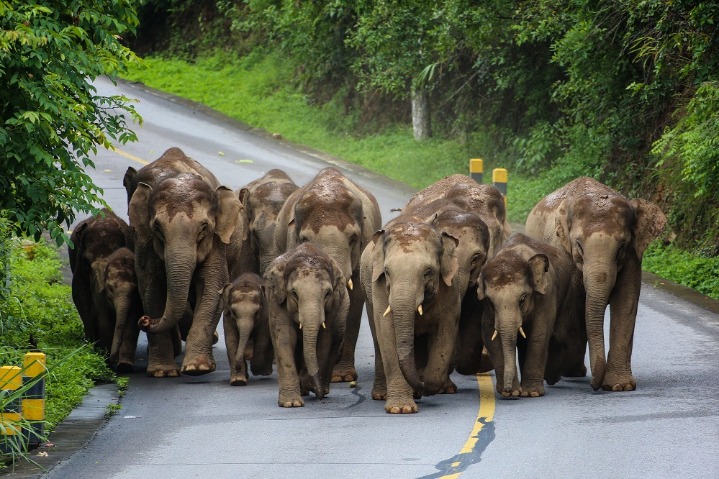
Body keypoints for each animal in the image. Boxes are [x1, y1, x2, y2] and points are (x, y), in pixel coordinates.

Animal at [125, 147, 243, 377]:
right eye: (157, 227)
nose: (144, 320)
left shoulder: (216, 242)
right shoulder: (144, 241)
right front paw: (162, 373)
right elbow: (151, 288)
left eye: (204, 227)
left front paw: (198, 368)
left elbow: (212, 285)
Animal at [264, 243, 349, 408]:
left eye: (327, 293)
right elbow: (284, 338)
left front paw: (308, 383)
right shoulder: (276, 299)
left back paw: (320, 388)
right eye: (294, 293)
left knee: (334, 345)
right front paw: (291, 403)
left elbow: (324, 340)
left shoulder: (333, 305)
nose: (320, 397)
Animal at [360, 219, 463, 414]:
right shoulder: (379, 288)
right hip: (368, 295)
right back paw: (381, 395)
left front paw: (426, 383)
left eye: (428, 272)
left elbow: (445, 334)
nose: (421, 385)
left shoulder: (451, 289)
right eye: (387, 271)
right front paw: (401, 409)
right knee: (377, 338)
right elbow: (387, 333)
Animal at [477, 233, 586, 398]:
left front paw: (532, 393)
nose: (508, 389)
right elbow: (489, 335)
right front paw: (512, 393)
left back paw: (550, 378)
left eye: (522, 299)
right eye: (489, 301)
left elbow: (539, 333)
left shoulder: (546, 294)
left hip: (568, 294)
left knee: (558, 335)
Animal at [525, 176, 667, 391]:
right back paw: (572, 372)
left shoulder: (633, 257)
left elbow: (626, 302)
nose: (594, 386)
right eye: (579, 246)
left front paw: (619, 386)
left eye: (621, 247)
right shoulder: (563, 252)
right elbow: (574, 305)